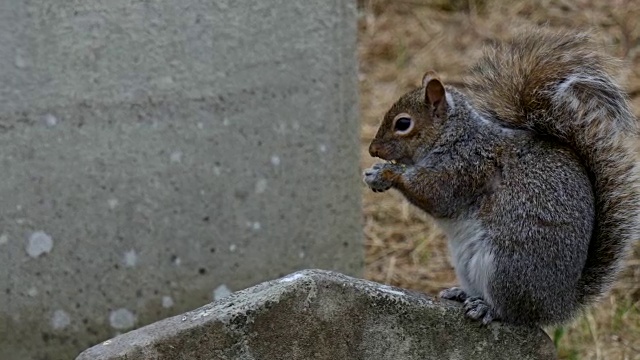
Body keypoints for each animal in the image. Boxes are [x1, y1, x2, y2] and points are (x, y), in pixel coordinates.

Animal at [362, 28, 640, 326]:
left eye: (403, 123)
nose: (372, 150)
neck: (455, 136)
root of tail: (556, 305)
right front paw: (374, 173)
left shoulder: (466, 166)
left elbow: (436, 195)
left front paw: (389, 173)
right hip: (468, 263)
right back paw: (461, 294)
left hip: (506, 266)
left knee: (512, 313)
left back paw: (487, 308)